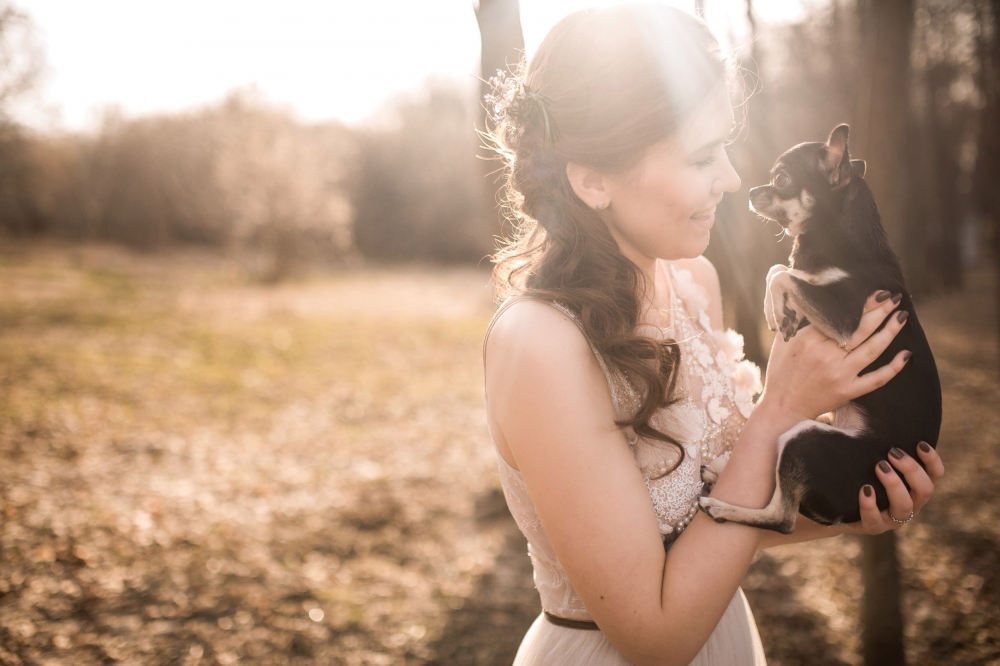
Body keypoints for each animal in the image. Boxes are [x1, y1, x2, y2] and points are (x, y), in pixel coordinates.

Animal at [697, 124, 941, 533]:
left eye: (781, 179)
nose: (751, 191)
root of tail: (861, 507)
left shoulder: (844, 320)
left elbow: (786, 276)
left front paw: (779, 312)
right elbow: (778, 269)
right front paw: (776, 311)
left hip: (804, 439)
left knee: (783, 519)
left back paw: (724, 507)